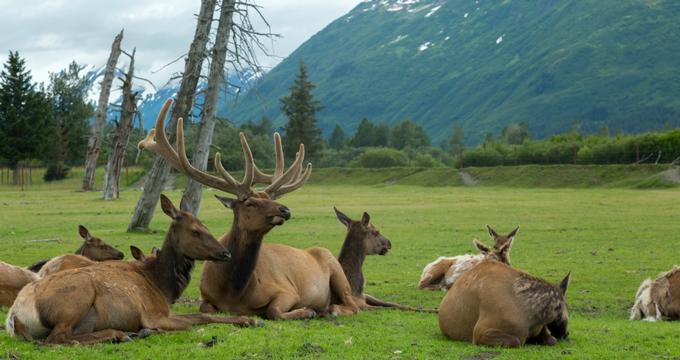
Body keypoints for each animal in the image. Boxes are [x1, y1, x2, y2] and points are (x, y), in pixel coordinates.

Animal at [6, 194, 256, 346]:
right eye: (195, 230)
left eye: (205, 225)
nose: (225, 253)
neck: (163, 286)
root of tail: (15, 316)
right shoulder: (154, 315)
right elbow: (199, 318)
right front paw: (251, 320)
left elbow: (201, 315)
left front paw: (249, 319)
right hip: (77, 298)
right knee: (57, 339)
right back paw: (122, 334)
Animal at [139, 99, 362, 320]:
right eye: (250, 203)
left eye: (269, 198)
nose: (285, 210)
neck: (234, 292)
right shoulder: (206, 296)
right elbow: (205, 308)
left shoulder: (288, 291)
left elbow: (273, 310)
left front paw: (307, 310)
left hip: (336, 269)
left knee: (354, 305)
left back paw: (330, 310)